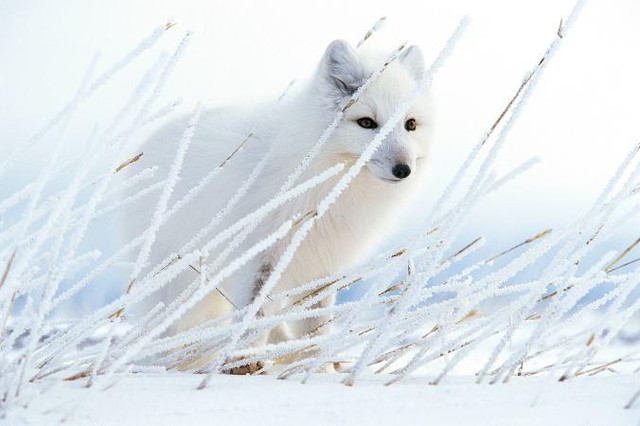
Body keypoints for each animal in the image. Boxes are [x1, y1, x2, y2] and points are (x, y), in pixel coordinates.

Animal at [118, 39, 433, 373]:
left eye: (410, 124)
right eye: (366, 123)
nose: (404, 170)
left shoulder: (321, 265)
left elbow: (314, 324)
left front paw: (316, 365)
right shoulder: (258, 257)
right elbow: (252, 314)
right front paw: (244, 362)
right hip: (176, 283)